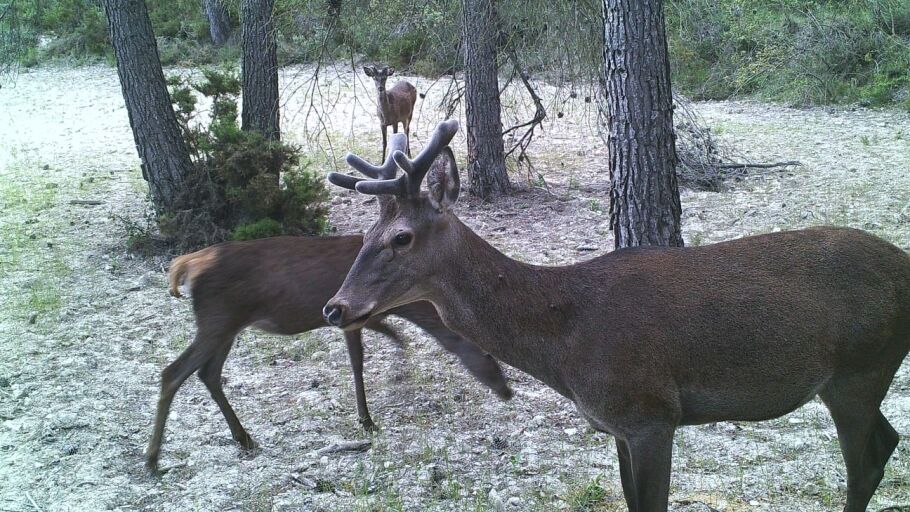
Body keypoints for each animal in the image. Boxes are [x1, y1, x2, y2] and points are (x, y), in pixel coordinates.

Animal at [145, 233, 513, 474]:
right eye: (490, 355)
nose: (507, 391)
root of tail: (187, 265)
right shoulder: (355, 317)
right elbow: (366, 357)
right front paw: (370, 417)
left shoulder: (356, 318)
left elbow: (379, 346)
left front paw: (384, 393)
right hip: (218, 319)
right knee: (173, 372)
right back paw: (152, 460)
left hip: (225, 325)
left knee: (208, 373)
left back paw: (244, 439)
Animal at [323, 120, 910, 512]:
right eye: (366, 234)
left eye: (401, 237)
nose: (335, 307)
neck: (568, 343)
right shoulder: (616, 426)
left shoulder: (651, 413)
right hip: (856, 376)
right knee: (887, 443)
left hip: (861, 366)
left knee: (863, 463)